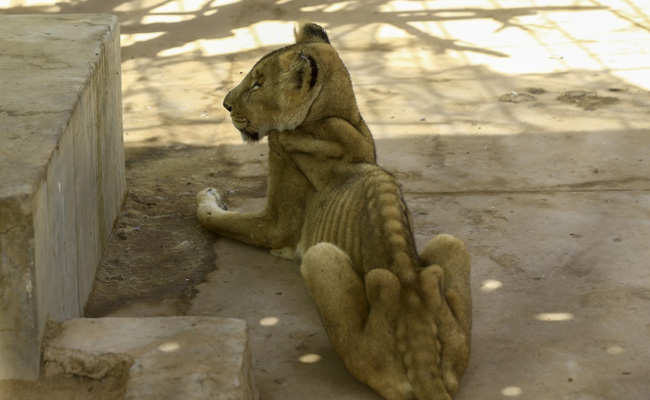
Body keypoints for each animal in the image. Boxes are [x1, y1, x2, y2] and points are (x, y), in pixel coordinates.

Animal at [196, 22, 472, 400]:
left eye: (257, 84)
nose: (224, 104)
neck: (334, 116)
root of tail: (423, 355)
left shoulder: (276, 222)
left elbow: (219, 219)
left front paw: (206, 195)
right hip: (452, 248)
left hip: (320, 258)